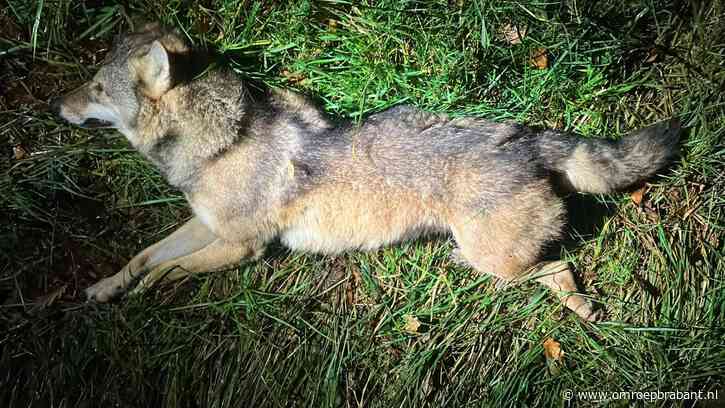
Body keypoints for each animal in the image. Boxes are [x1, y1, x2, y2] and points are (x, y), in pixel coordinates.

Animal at [51, 24, 680, 320]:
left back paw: (581, 307)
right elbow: (142, 257)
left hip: (487, 260)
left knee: (560, 267)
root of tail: (529, 137)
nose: (57, 104)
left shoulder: (241, 246)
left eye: (97, 89)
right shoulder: (206, 226)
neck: (220, 145)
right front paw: (107, 287)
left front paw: (143, 298)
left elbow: (166, 271)